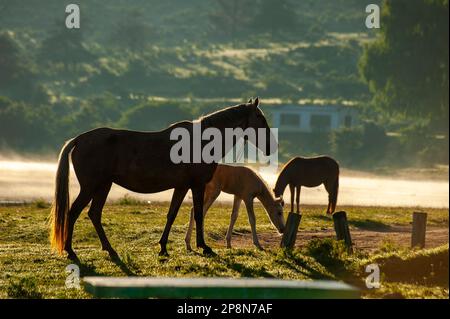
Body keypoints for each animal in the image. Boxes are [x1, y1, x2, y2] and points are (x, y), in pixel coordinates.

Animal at [49, 99, 274, 262]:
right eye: (260, 118)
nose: (270, 145)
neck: (201, 140)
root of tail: (78, 140)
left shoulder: (182, 187)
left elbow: (172, 214)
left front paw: (163, 247)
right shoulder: (197, 185)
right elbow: (199, 214)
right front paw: (203, 246)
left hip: (103, 186)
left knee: (94, 214)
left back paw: (109, 250)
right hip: (91, 187)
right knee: (74, 212)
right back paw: (71, 251)